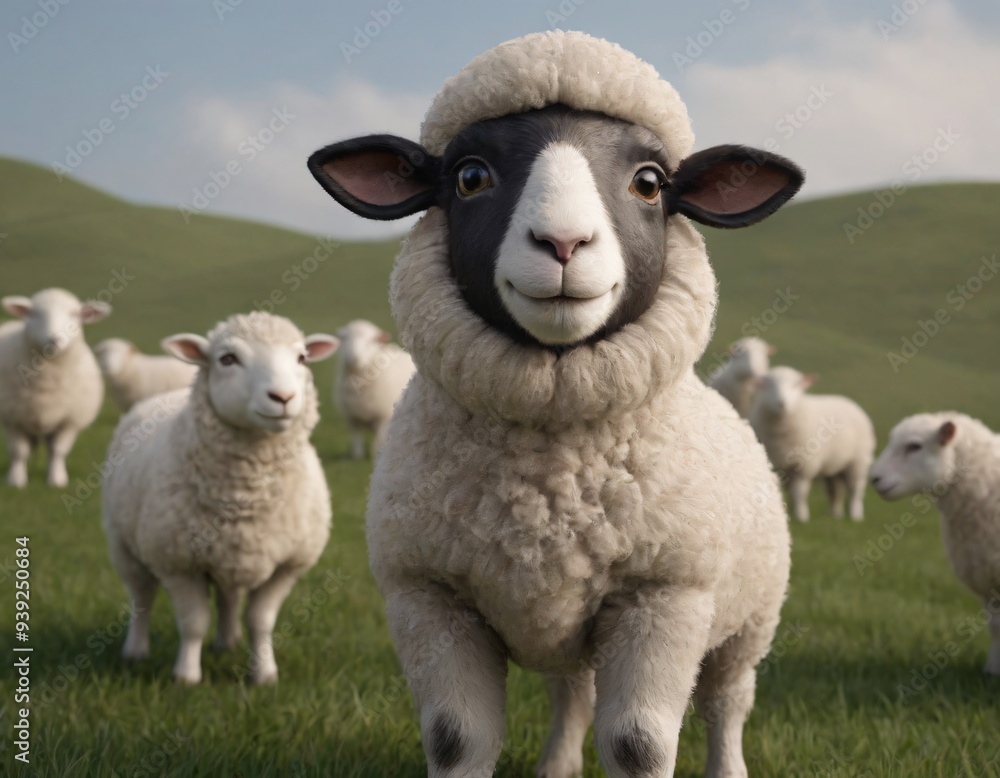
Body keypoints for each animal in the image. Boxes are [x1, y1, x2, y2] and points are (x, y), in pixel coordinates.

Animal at [0, 288, 110, 487]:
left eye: (75, 314)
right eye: (35, 313)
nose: (54, 339)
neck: (47, 380)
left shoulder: (70, 420)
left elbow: (58, 451)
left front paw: (57, 480)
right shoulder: (12, 418)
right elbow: (18, 452)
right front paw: (16, 480)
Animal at [101, 312, 338, 685]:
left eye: (302, 358)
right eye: (227, 359)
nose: (283, 396)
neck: (247, 495)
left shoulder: (287, 565)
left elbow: (261, 622)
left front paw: (264, 674)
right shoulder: (178, 562)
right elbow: (194, 623)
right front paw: (186, 676)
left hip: (234, 555)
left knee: (229, 598)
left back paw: (227, 642)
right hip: (124, 545)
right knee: (142, 597)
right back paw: (136, 651)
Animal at [332, 319, 415, 460]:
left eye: (371, 341)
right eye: (345, 338)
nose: (353, 358)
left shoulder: (383, 417)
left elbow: (378, 440)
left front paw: (375, 455)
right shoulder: (352, 416)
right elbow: (356, 437)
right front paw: (357, 456)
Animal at [749, 366, 875, 522]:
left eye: (796, 385)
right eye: (767, 385)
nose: (782, 404)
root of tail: (848, 401)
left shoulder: (804, 466)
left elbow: (799, 493)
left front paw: (801, 516)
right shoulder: (776, 464)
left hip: (858, 461)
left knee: (856, 489)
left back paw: (855, 515)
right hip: (835, 466)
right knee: (835, 490)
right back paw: (835, 514)